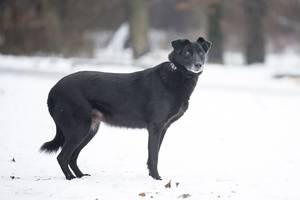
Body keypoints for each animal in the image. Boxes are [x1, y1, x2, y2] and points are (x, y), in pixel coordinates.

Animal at [40, 37, 211, 180]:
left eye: (201, 53)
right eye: (187, 52)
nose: (198, 65)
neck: (178, 73)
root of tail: (53, 90)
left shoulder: (163, 128)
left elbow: (154, 154)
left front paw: (152, 177)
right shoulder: (155, 127)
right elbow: (154, 156)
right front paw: (157, 178)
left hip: (89, 129)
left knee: (72, 156)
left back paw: (81, 176)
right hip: (79, 128)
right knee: (62, 157)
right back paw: (71, 178)